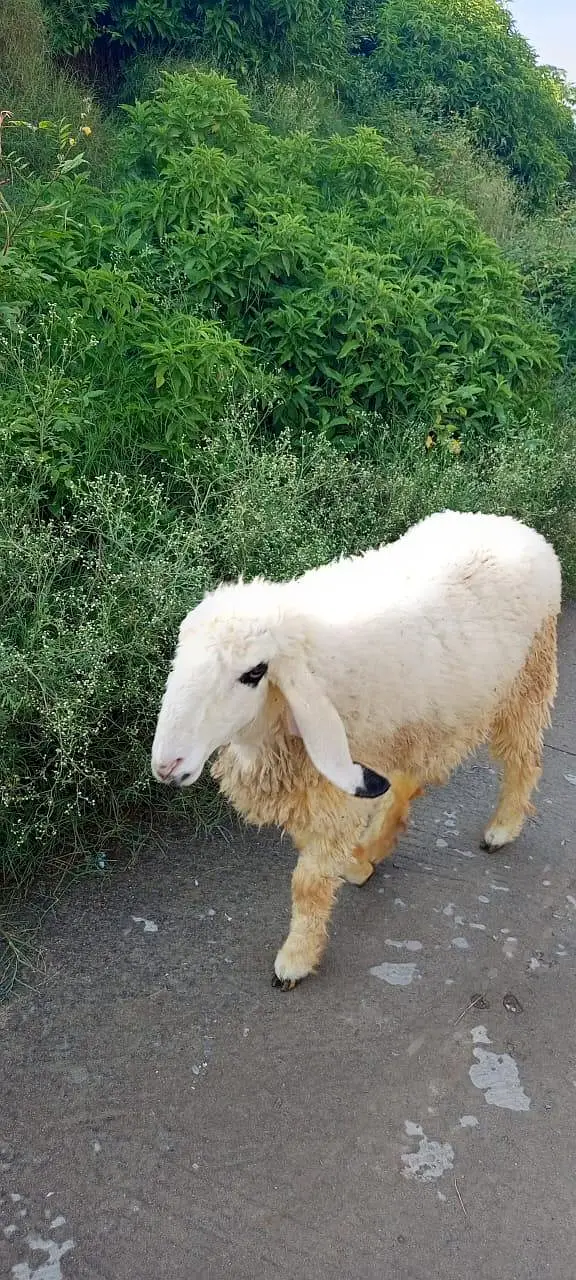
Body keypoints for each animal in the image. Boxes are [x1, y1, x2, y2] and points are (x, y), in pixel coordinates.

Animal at [151, 511, 561, 990]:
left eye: (254, 673)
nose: (168, 765)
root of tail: (512, 525)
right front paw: (356, 865)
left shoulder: (334, 792)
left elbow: (308, 884)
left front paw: (295, 959)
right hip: (411, 723)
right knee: (405, 783)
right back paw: (372, 850)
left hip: (528, 681)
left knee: (523, 760)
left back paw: (503, 828)